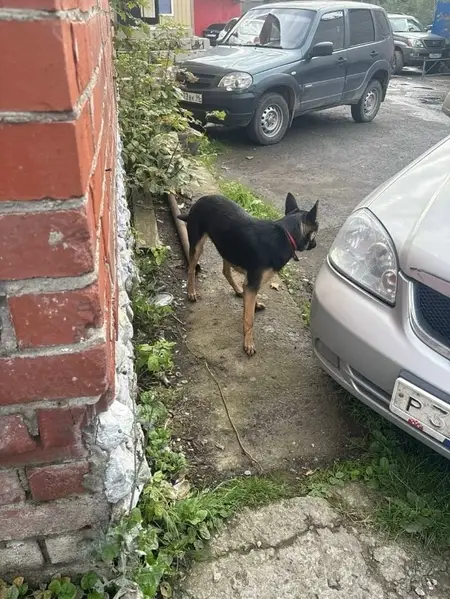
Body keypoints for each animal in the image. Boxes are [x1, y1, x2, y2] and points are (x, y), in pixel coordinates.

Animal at [178, 193, 319, 356]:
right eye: (317, 230)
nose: (315, 245)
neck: (286, 235)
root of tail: (201, 200)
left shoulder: (252, 284)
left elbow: (250, 302)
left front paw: (253, 304)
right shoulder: (252, 284)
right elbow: (249, 319)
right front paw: (248, 343)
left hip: (228, 248)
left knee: (225, 271)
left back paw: (238, 290)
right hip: (198, 245)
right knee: (191, 269)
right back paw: (191, 292)